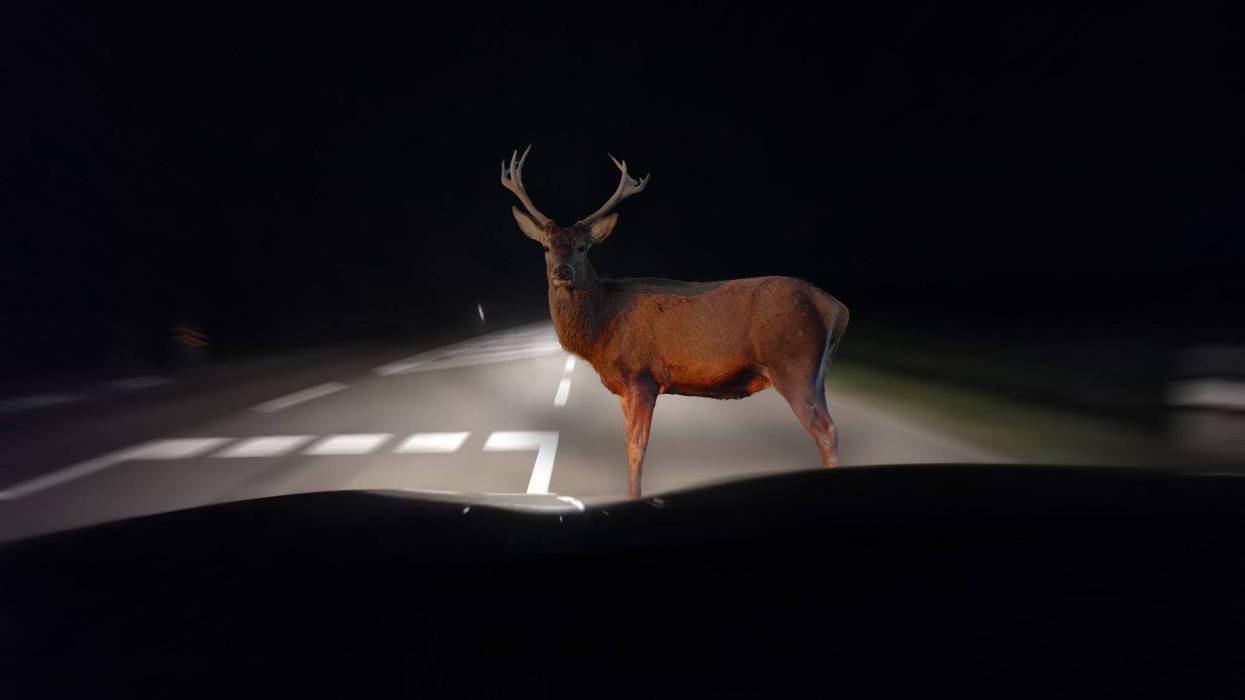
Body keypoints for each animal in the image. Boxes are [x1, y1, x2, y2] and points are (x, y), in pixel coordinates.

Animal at [501, 146, 849, 500]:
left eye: (584, 247)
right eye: (546, 246)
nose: (563, 272)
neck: (603, 326)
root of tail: (835, 307)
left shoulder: (642, 376)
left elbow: (636, 449)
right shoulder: (624, 388)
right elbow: (627, 446)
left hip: (793, 363)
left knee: (825, 430)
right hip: (816, 373)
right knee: (831, 426)